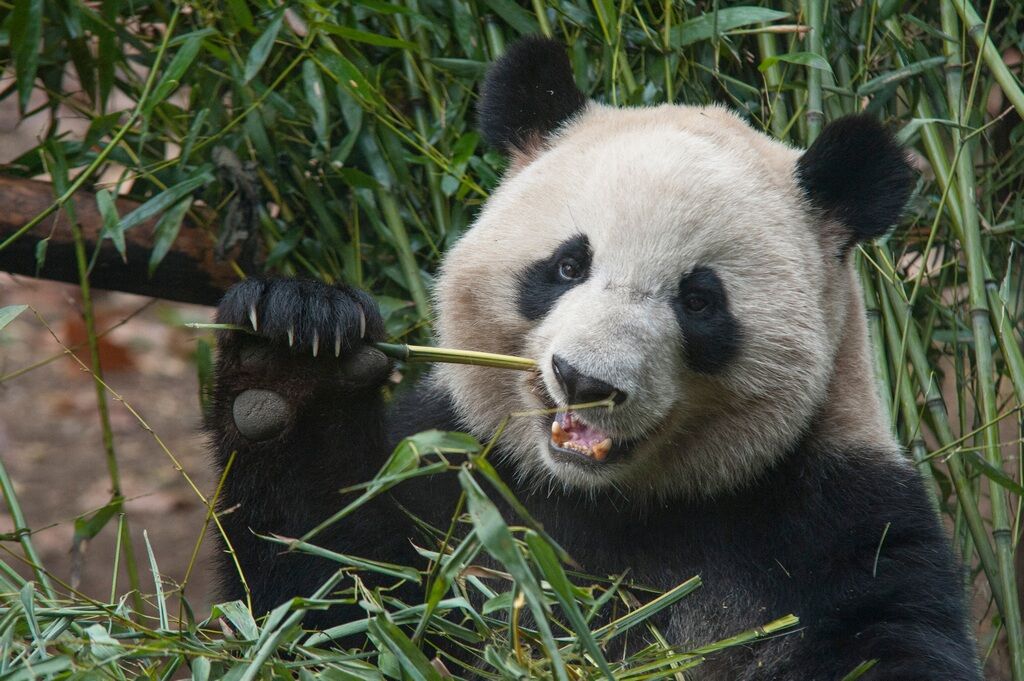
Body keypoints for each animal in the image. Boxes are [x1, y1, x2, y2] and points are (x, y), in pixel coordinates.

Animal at [208, 38, 981, 680]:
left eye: (699, 300)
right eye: (567, 264)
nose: (586, 380)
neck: (607, 498)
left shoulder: (838, 522)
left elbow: (890, 637)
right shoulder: (452, 474)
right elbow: (326, 598)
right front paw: (289, 354)